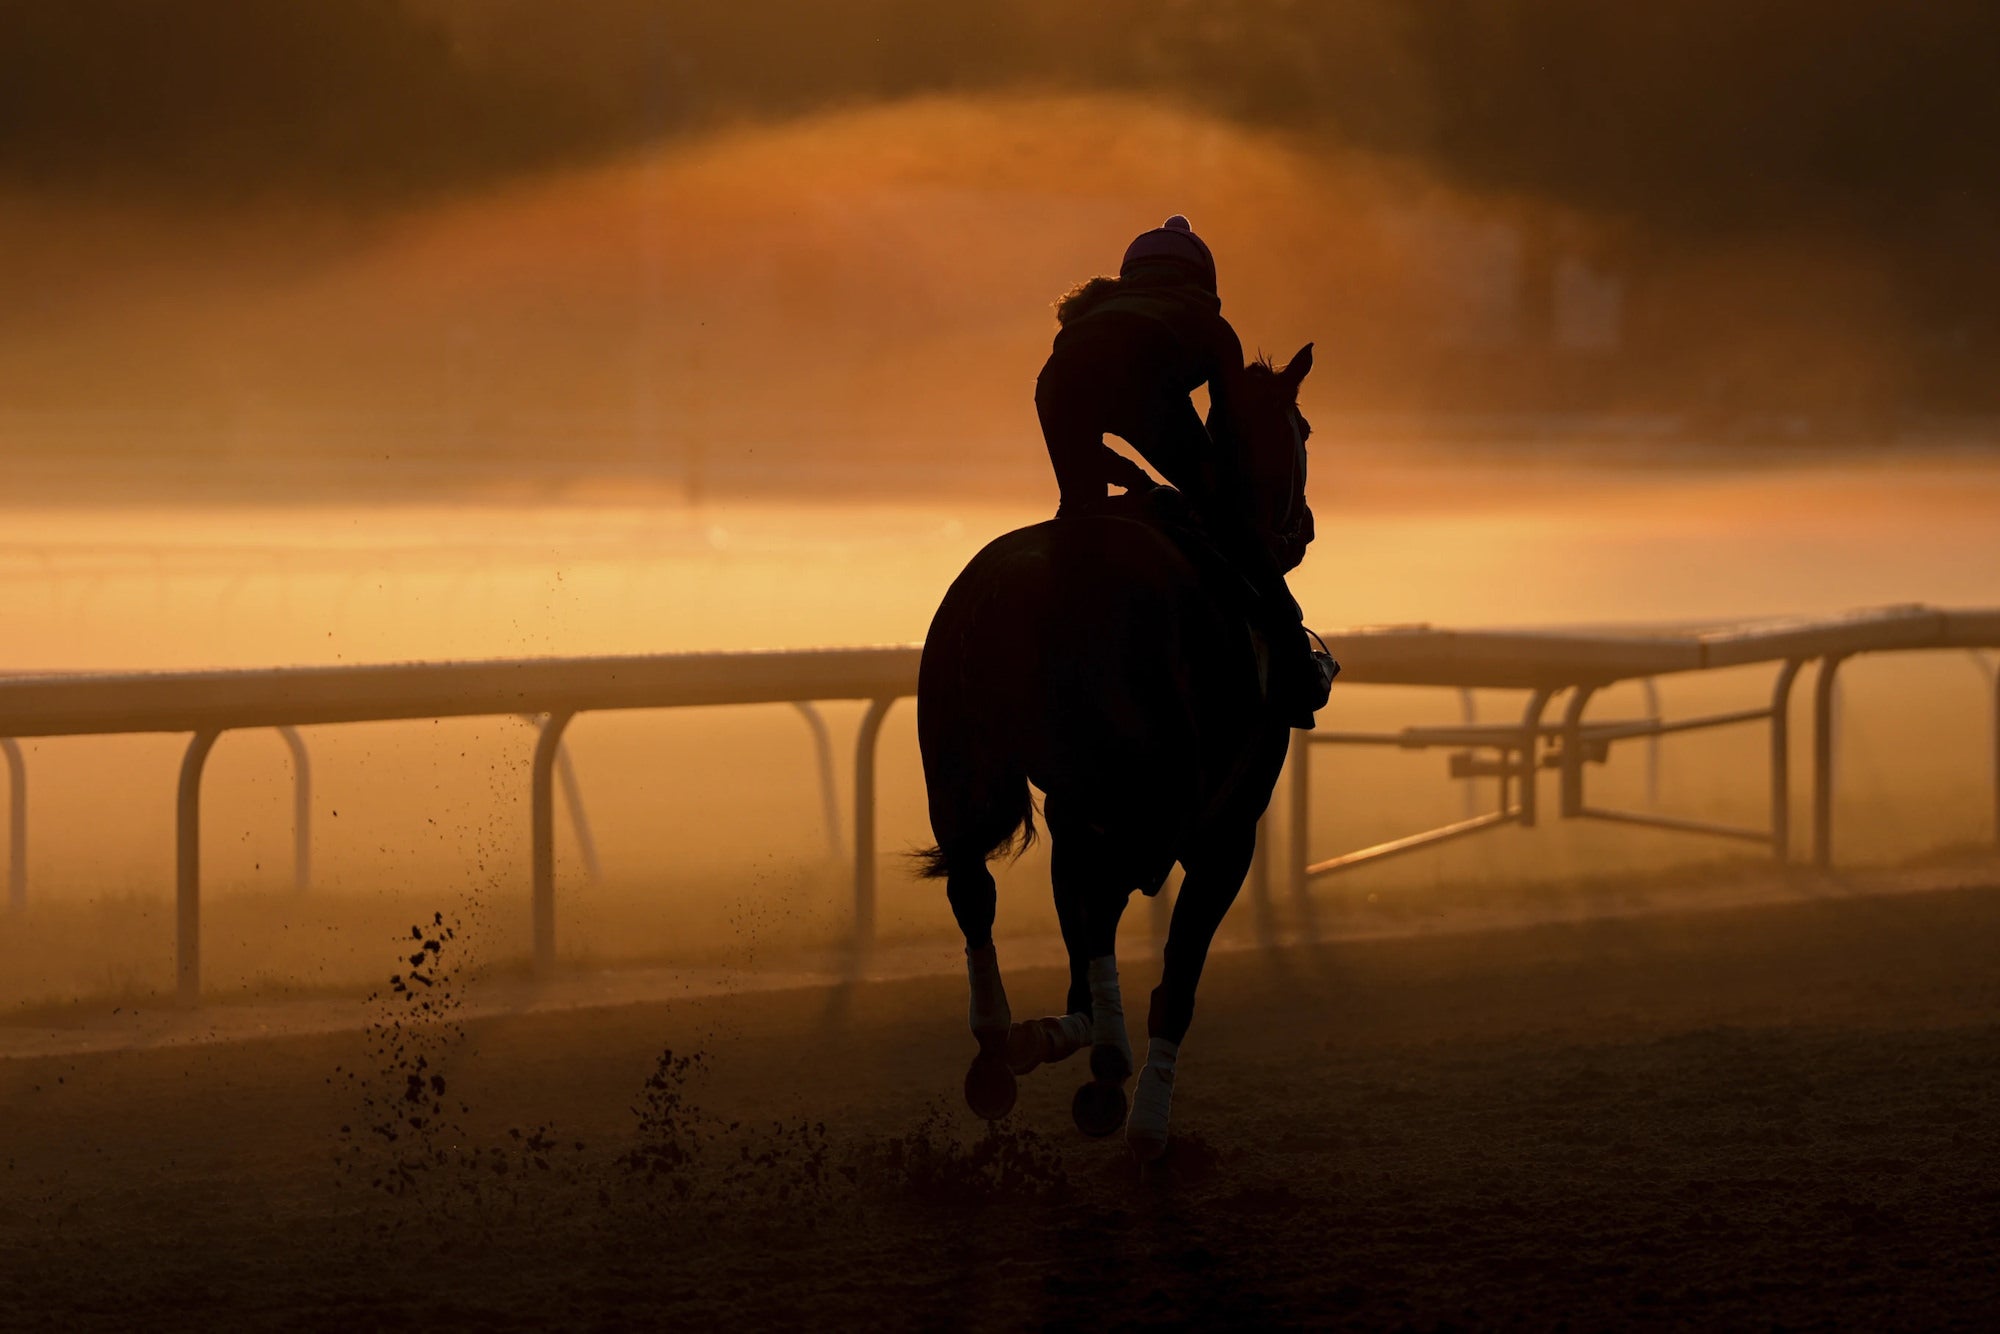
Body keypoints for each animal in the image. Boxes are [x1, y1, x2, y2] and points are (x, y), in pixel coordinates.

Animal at [916, 348, 1320, 1168]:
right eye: (1303, 430)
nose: (1305, 528)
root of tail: (1015, 586)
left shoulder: (1092, 815)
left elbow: (1077, 918)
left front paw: (1058, 1032)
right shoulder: (1222, 830)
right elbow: (1176, 975)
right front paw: (1144, 1116)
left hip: (958, 772)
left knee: (976, 889)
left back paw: (997, 1046)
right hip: (1140, 795)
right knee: (1098, 894)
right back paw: (1105, 1068)